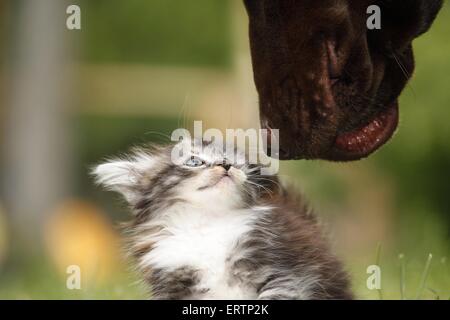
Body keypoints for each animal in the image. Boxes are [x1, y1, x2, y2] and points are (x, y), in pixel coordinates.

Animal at [92, 139, 352, 298]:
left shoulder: (281, 270)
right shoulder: (171, 279)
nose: (226, 165)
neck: (206, 222)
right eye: (194, 161)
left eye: (237, 162)